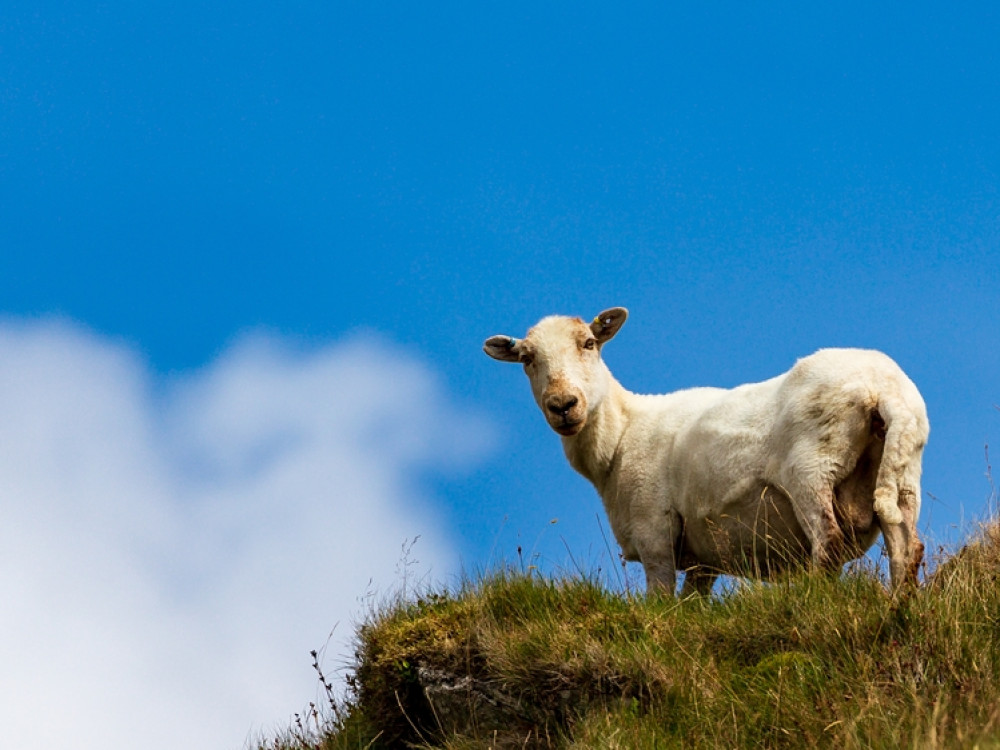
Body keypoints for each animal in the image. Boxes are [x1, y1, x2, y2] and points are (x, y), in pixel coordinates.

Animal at [484, 307, 929, 596]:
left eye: (589, 343)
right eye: (526, 358)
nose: (563, 405)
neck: (621, 437)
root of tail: (880, 387)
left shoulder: (654, 533)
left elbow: (661, 603)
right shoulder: (705, 559)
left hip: (812, 468)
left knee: (829, 543)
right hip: (904, 471)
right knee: (907, 549)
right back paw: (899, 610)